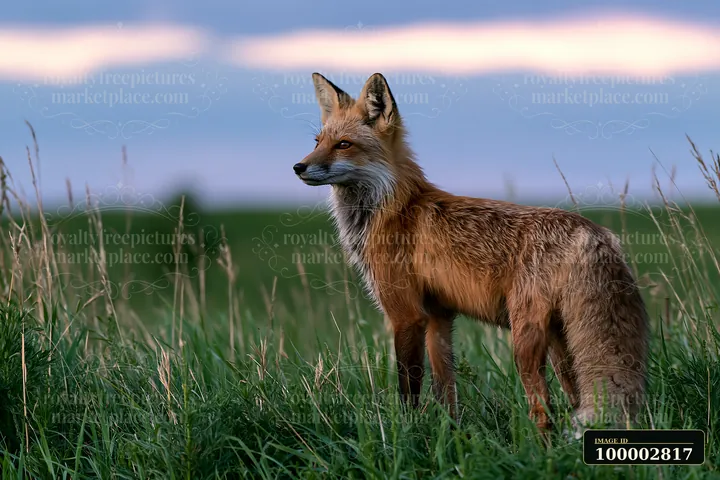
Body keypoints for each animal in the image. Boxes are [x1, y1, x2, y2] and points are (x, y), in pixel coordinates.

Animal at [293, 72, 649, 433]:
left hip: (525, 341)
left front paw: (406, 433)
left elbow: (409, 389)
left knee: (543, 410)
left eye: (343, 144)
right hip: (562, 342)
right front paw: (451, 435)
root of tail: (591, 231)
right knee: (575, 398)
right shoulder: (438, 315)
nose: (298, 167)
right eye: (317, 141)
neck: (392, 208)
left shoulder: (406, 314)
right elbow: (445, 390)